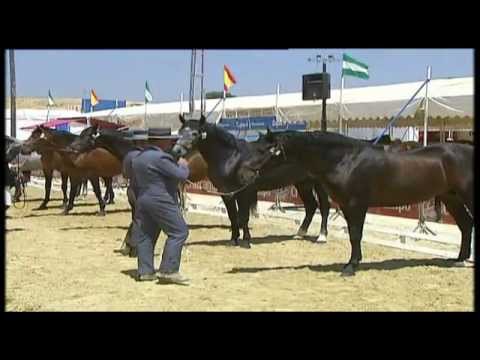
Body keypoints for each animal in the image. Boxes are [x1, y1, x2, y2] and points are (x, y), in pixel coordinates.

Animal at [172, 115, 334, 248]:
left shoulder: (244, 191)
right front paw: (234, 239)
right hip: (303, 183)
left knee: (324, 207)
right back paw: (300, 233)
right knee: (311, 206)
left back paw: (322, 236)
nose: (176, 151)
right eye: (180, 131)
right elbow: (233, 215)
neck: (232, 157)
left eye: (194, 133)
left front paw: (246, 240)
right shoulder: (226, 192)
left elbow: (243, 216)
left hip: (319, 184)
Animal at [240, 129, 472, 276]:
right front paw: (354, 262)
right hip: (451, 198)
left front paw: (351, 266)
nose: (248, 169)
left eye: (268, 150)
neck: (347, 160)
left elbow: (355, 235)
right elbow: (353, 234)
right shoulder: (346, 206)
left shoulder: (357, 205)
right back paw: (459, 259)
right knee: (465, 225)